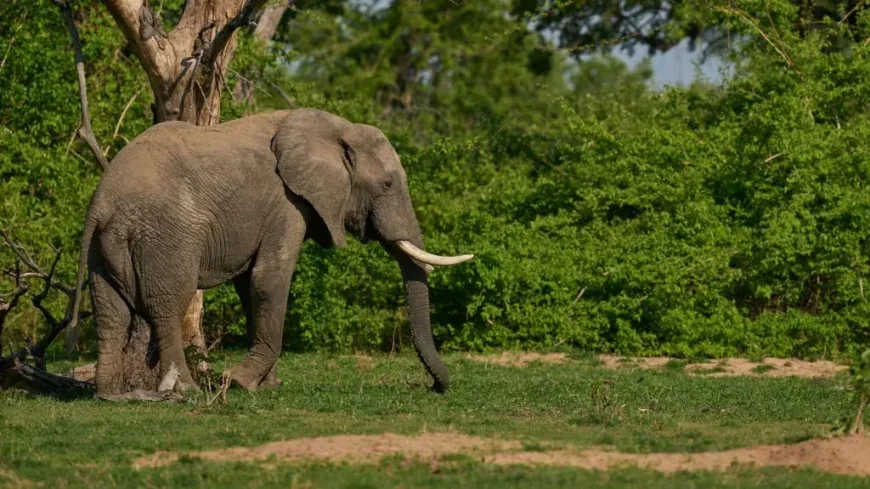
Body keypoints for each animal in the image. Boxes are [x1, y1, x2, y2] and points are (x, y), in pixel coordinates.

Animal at [68, 108, 473, 395]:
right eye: (387, 183)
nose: (434, 387)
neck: (335, 127)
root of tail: (99, 204)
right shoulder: (286, 204)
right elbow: (270, 279)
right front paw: (240, 382)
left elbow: (250, 286)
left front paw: (266, 385)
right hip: (165, 237)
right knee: (168, 308)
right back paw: (188, 390)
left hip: (104, 248)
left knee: (110, 313)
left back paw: (109, 394)